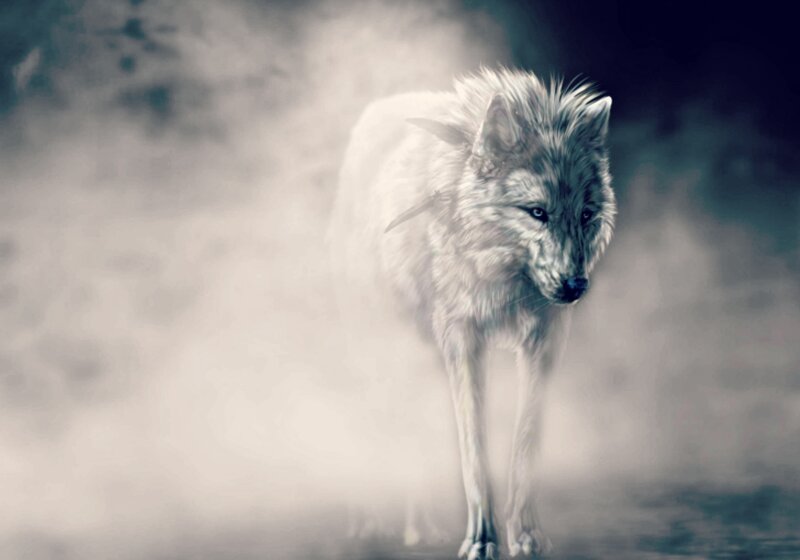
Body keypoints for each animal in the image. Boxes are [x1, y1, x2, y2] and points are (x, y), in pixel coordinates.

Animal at [328, 68, 615, 559]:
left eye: (585, 214)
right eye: (536, 212)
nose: (574, 286)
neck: (505, 279)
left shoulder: (545, 340)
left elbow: (526, 443)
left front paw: (527, 536)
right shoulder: (462, 339)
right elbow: (474, 451)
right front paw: (482, 540)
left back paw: (420, 528)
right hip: (384, 350)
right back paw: (367, 523)